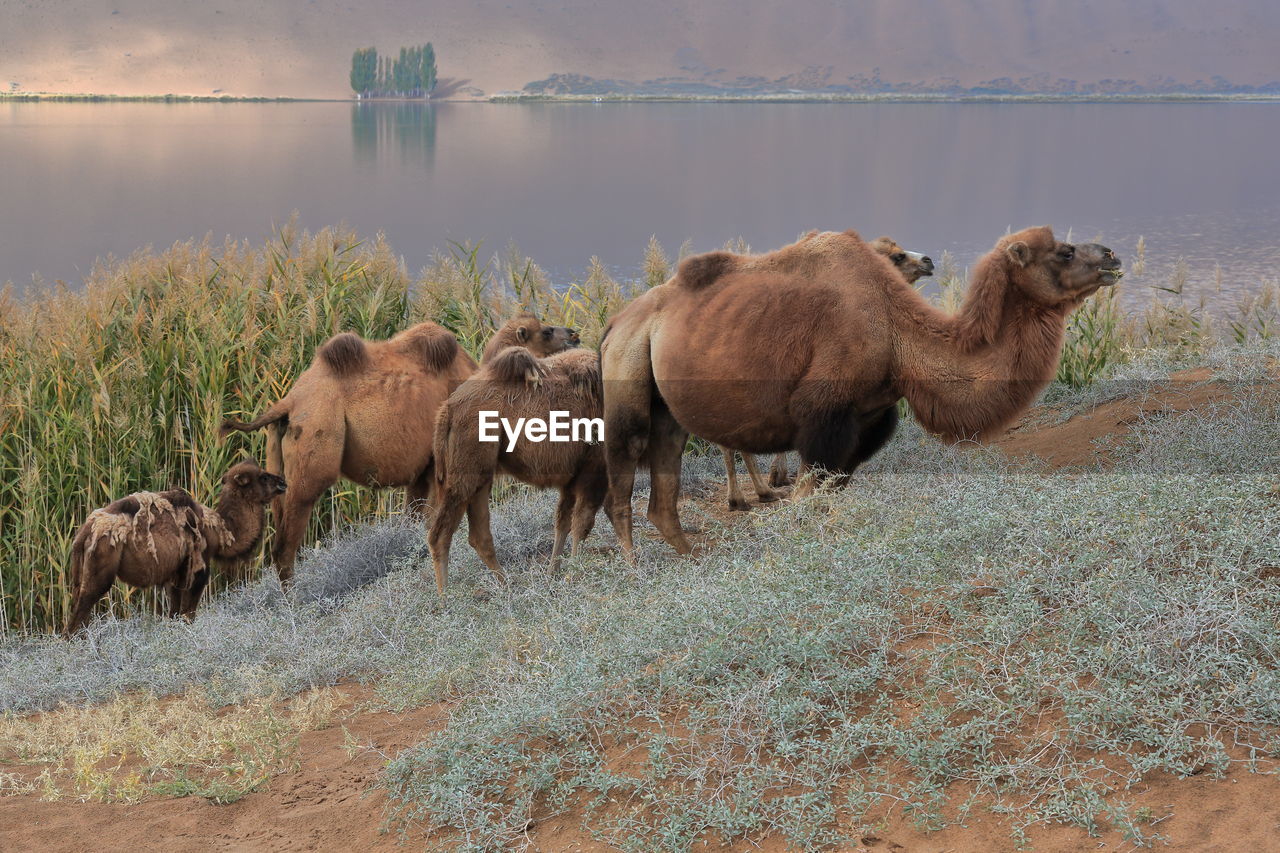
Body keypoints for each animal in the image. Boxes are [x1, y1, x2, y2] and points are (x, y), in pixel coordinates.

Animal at [63, 461, 285, 635]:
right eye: (263, 477)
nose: (283, 482)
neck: (220, 530)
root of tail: (85, 531)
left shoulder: (176, 575)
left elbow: (174, 614)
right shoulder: (199, 569)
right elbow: (189, 615)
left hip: (80, 576)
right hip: (99, 573)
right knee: (77, 618)